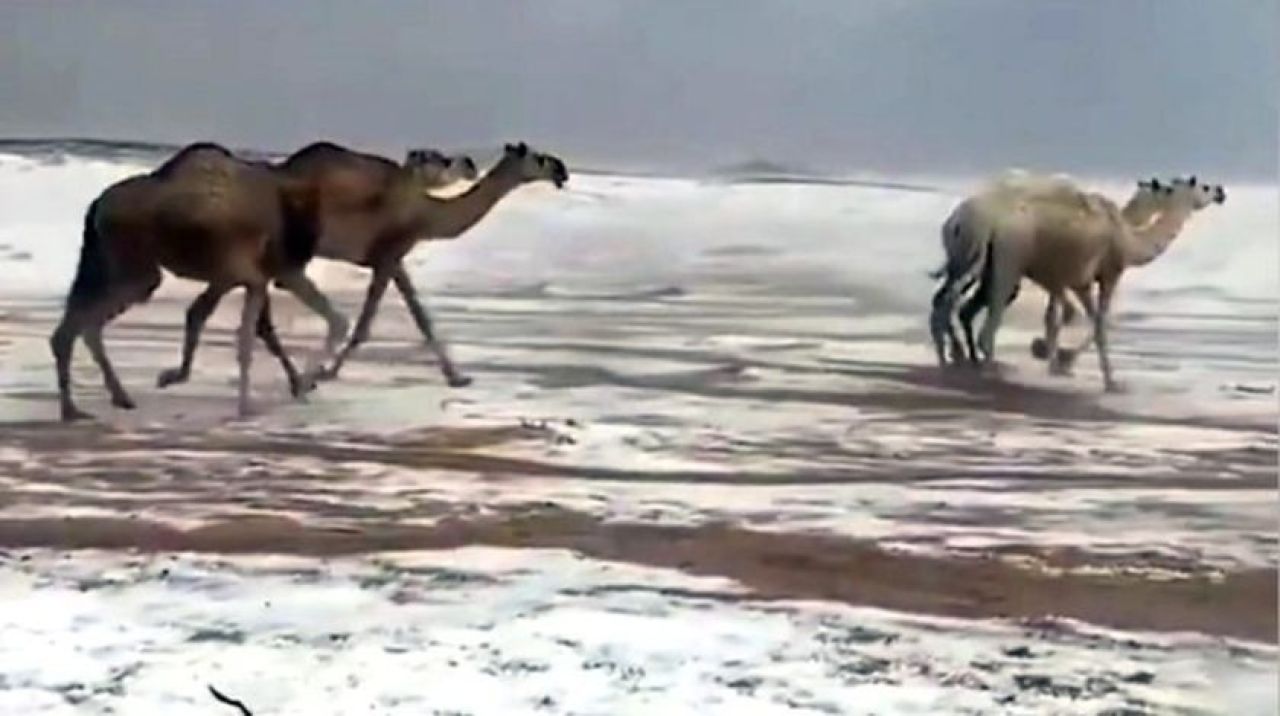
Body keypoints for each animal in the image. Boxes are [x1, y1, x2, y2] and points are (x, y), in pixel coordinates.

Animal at [52, 142, 317, 420]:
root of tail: (97, 205)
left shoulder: (241, 276)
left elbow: (254, 326)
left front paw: (299, 385)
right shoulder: (239, 272)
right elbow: (233, 322)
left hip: (108, 261)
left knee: (81, 323)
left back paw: (102, 401)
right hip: (134, 267)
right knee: (86, 324)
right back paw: (79, 407)